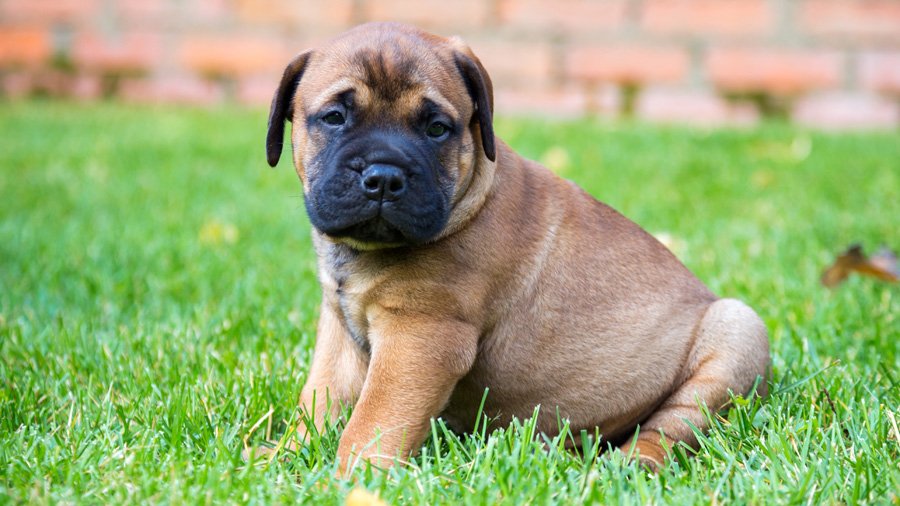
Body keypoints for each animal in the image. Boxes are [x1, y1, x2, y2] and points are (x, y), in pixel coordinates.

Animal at [264, 21, 768, 472]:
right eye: (335, 118)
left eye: (436, 128)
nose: (384, 177)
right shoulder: (339, 330)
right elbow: (320, 399)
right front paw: (282, 455)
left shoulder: (421, 337)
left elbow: (375, 420)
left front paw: (349, 477)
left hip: (737, 330)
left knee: (670, 429)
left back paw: (627, 465)